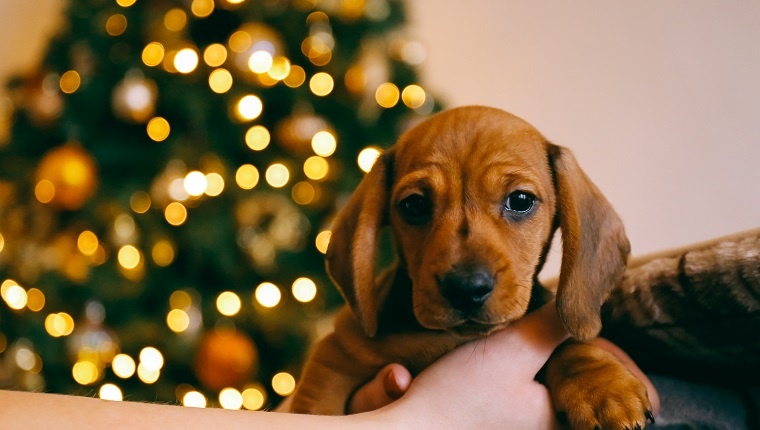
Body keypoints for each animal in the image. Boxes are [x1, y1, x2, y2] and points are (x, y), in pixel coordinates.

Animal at [290, 106, 652, 428]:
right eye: (414, 205)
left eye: (520, 200)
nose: (466, 289)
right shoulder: (336, 355)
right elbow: (316, 405)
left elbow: (570, 346)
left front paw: (602, 388)